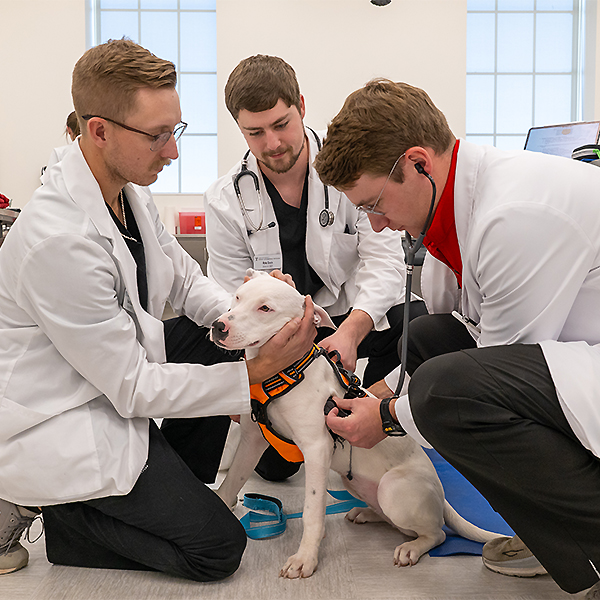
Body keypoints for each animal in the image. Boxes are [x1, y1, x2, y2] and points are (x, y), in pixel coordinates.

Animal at [211, 270, 502, 576]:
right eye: (238, 297)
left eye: (265, 308)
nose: (218, 326)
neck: (285, 372)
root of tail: (442, 495)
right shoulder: (252, 440)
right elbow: (232, 480)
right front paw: (222, 504)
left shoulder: (317, 449)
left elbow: (312, 511)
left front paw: (305, 558)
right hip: (354, 483)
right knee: (396, 521)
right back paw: (367, 512)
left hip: (393, 489)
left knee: (437, 534)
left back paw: (412, 548)